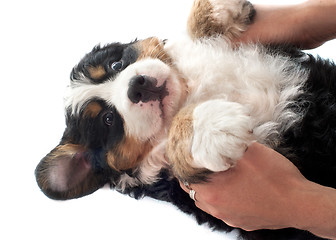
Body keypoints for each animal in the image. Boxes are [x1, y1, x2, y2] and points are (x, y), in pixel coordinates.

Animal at [34, 0, 336, 240]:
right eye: (108, 120)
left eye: (115, 64)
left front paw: (216, 10)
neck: (189, 90)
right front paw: (211, 129)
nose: (138, 86)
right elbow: (175, 138)